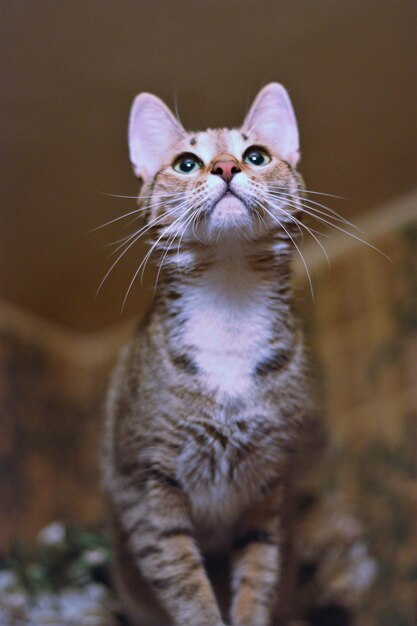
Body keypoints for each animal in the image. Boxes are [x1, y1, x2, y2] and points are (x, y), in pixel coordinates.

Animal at [101, 84, 322, 624]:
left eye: (256, 156)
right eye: (186, 163)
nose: (224, 167)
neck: (229, 299)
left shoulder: (268, 486)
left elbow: (258, 575)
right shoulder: (146, 486)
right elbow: (182, 580)